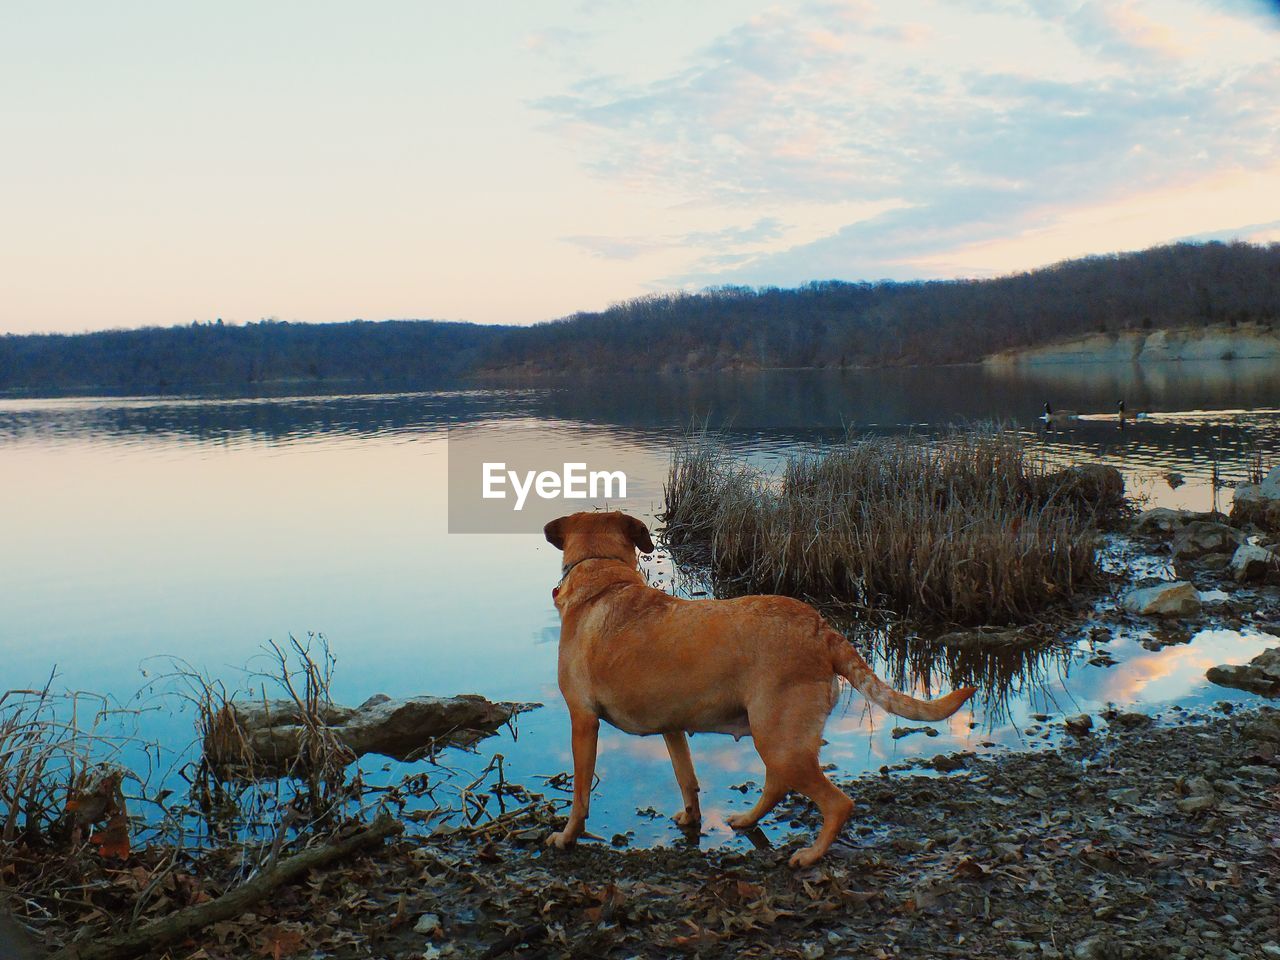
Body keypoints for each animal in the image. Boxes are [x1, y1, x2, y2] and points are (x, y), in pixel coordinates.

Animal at [542, 514, 977, 870]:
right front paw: (691, 816)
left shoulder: (583, 720)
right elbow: (687, 777)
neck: (602, 575)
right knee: (777, 784)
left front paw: (566, 837)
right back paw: (749, 820)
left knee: (837, 802)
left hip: (779, 738)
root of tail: (822, 630)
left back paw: (810, 855)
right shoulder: (672, 726)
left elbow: (580, 793)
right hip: (775, 735)